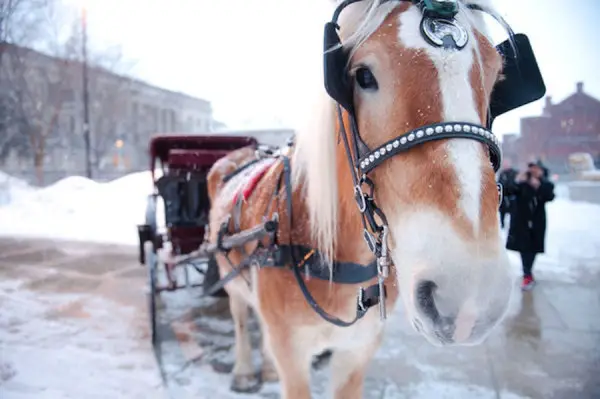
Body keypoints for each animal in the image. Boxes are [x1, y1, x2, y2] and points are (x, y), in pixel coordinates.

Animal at [206, 1, 544, 398]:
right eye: (364, 76)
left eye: (493, 79)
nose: (470, 293)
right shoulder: (292, 354)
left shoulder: (356, 352)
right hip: (230, 277)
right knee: (241, 317)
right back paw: (244, 369)